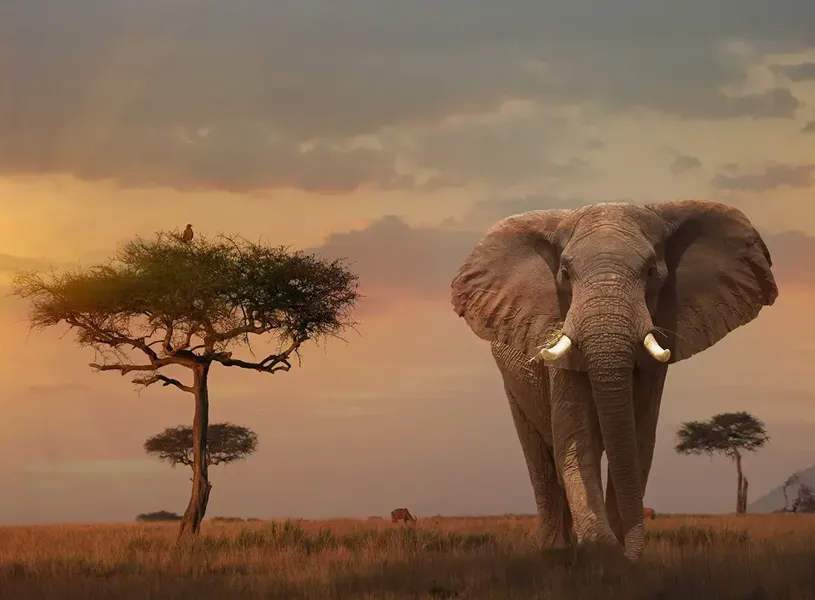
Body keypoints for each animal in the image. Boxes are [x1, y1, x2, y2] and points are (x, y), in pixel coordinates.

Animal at [450, 201, 778, 561]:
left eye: (651, 272)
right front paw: (601, 549)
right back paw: (555, 550)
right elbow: (577, 439)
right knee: (541, 457)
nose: (629, 554)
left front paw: (618, 554)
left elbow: (638, 440)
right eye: (565, 274)